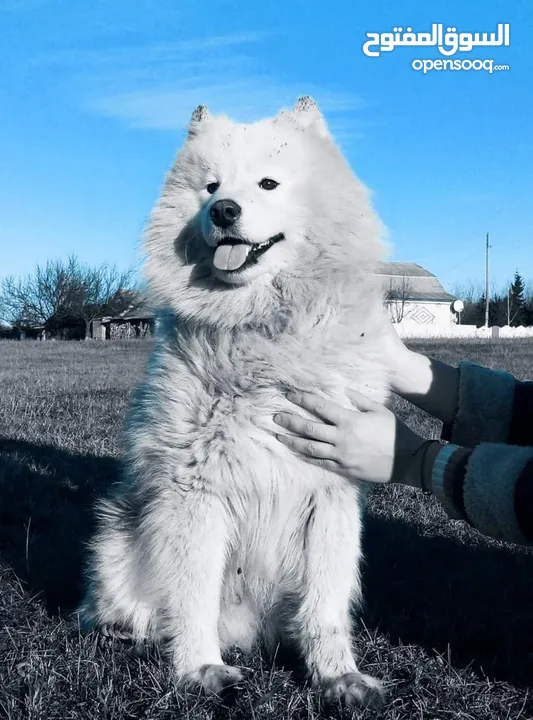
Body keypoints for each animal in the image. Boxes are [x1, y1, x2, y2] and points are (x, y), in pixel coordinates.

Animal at [81, 97, 392, 708]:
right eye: (211, 187)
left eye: (268, 183)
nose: (224, 210)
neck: (261, 330)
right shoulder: (196, 491)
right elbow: (193, 596)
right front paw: (199, 668)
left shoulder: (331, 494)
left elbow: (326, 608)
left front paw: (337, 676)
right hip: (118, 539)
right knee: (121, 610)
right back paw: (135, 634)